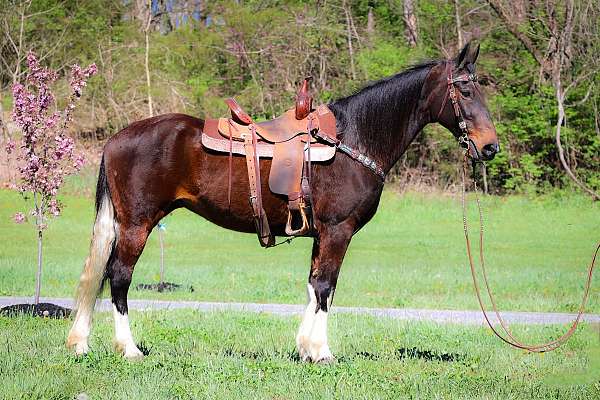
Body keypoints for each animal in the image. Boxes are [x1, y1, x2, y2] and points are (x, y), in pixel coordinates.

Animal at [65, 40, 500, 362]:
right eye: (464, 89)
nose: (490, 147)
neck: (352, 139)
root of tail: (117, 138)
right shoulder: (338, 231)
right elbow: (326, 286)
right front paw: (321, 352)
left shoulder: (321, 235)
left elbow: (314, 286)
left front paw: (305, 348)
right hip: (137, 224)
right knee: (118, 278)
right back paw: (129, 349)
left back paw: (82, 342)